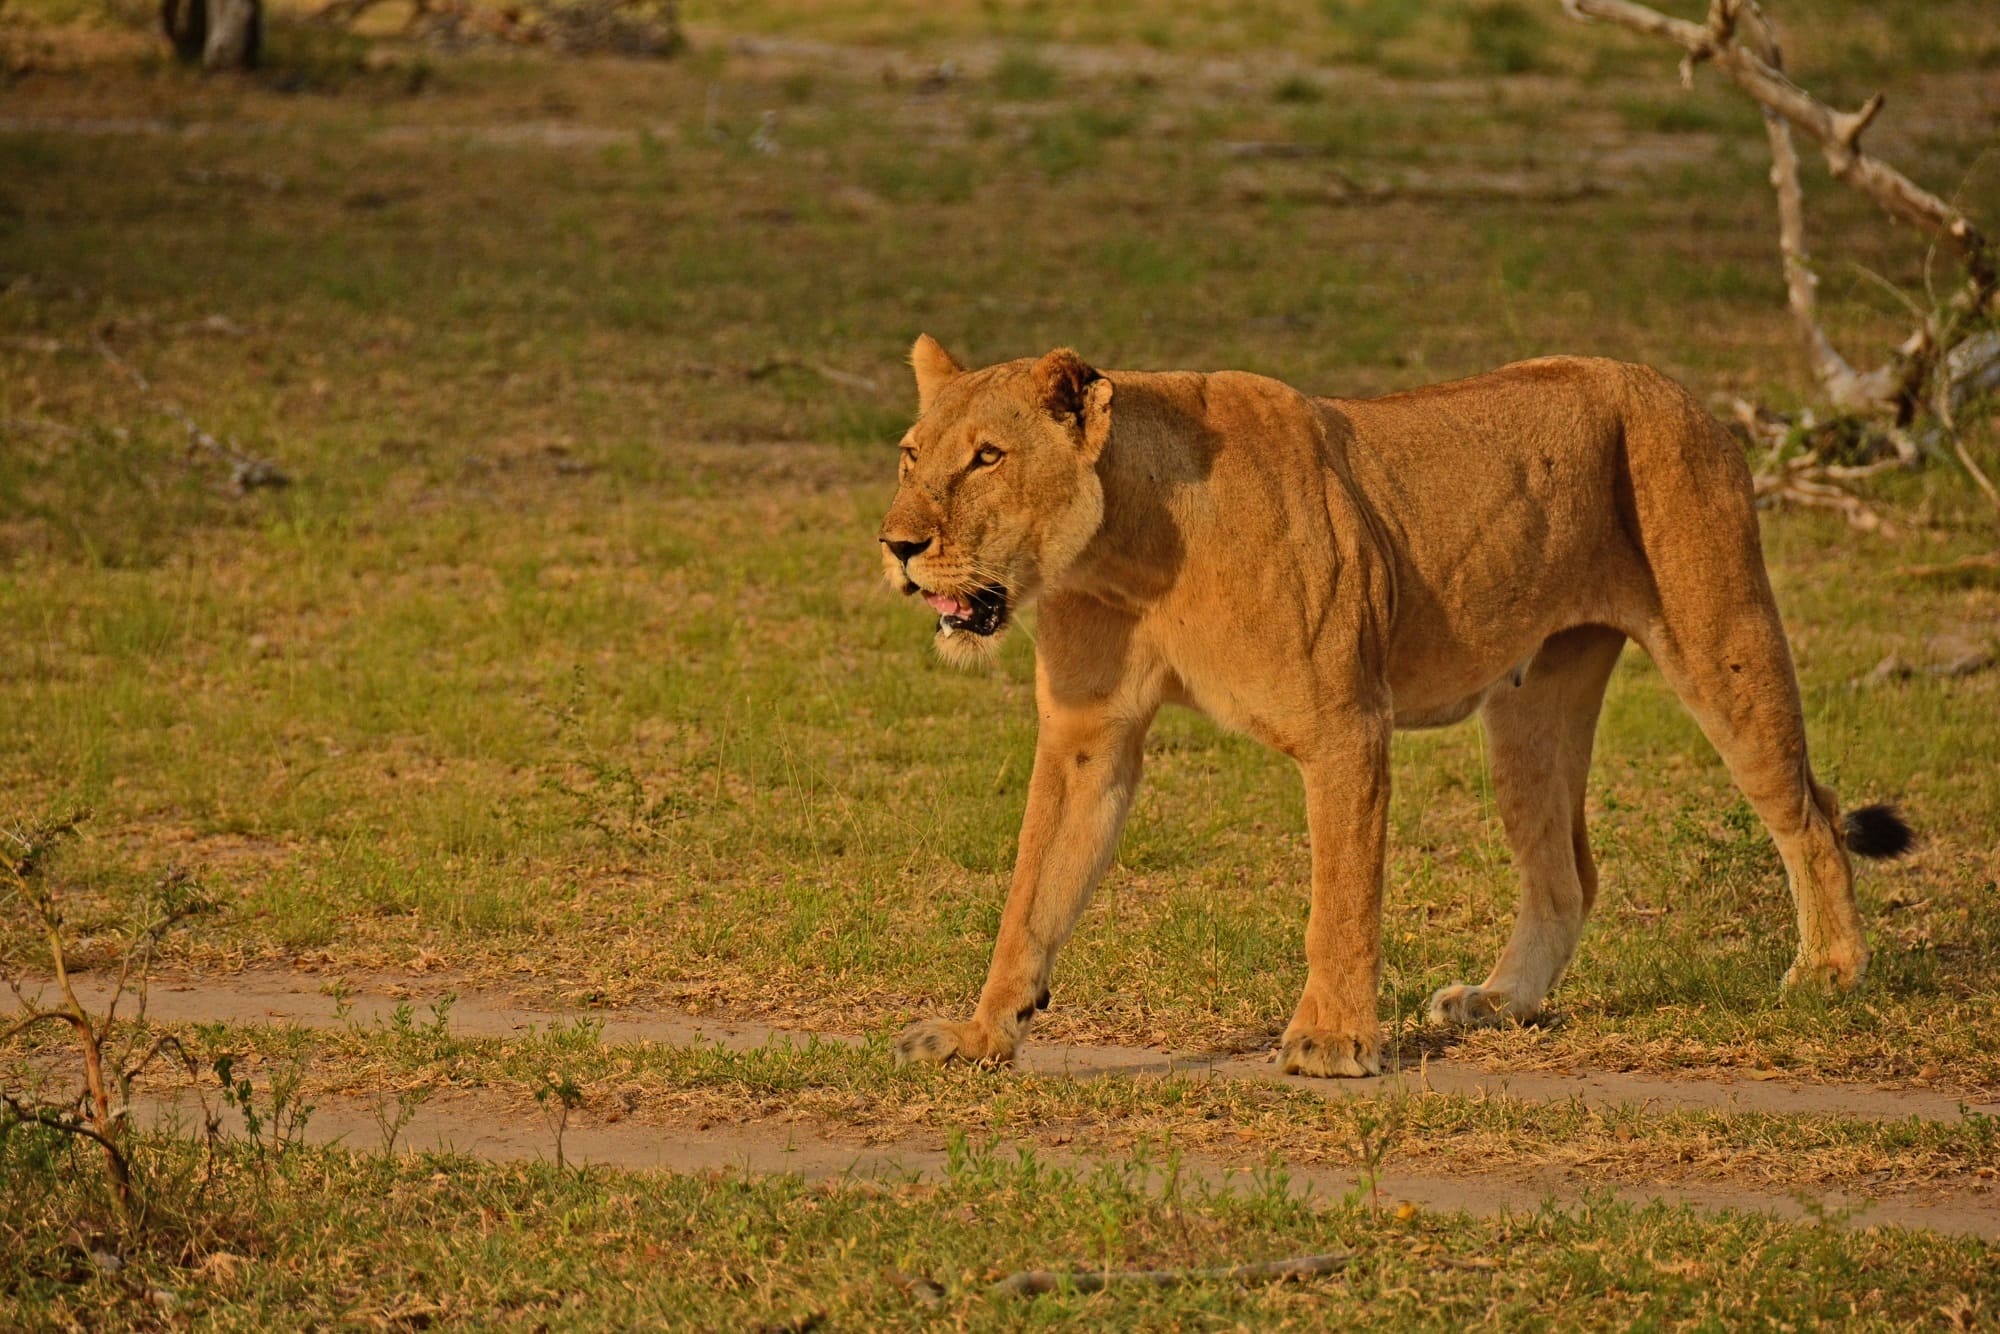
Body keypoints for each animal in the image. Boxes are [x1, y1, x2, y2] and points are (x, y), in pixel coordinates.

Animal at [878, 336, 1911, 1078]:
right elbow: (1032, 893)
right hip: (1531, 714)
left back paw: (1830, 970)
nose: (897, 545)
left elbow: (1340, 896)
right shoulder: (1088, 736)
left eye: (986, 458)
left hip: (1722, 637)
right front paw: (981, 1034)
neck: (1129, 552)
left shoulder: (1346, 724)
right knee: (1566, 874)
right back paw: (1500, 1002)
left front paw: (1335, 1041)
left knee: (1809, 811)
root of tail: (1675, 388)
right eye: (910, 456)